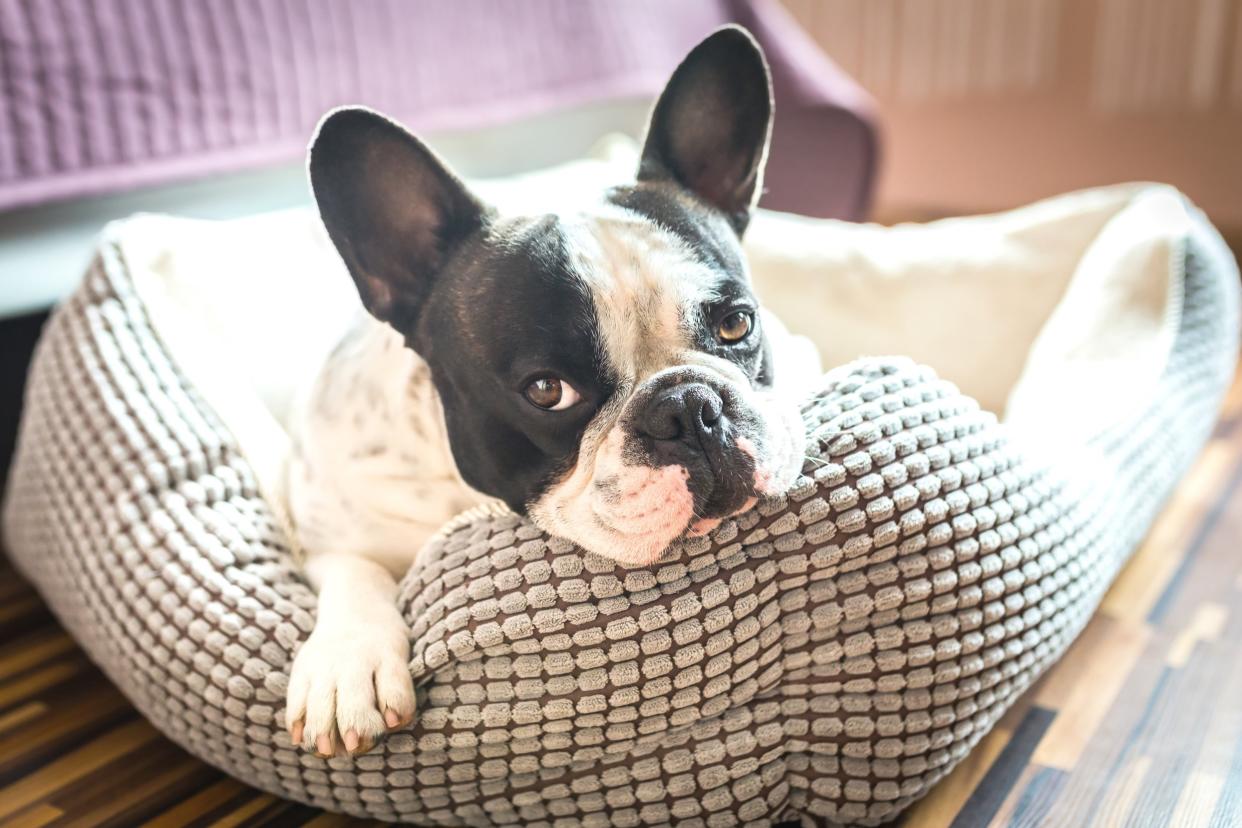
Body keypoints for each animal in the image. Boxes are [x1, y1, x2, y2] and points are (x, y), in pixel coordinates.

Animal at [284, 25, 819, 759]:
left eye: (737, 323)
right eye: (546, 392)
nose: (690, 409)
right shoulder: (325, 521)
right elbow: (355, 569)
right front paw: (348, 661)